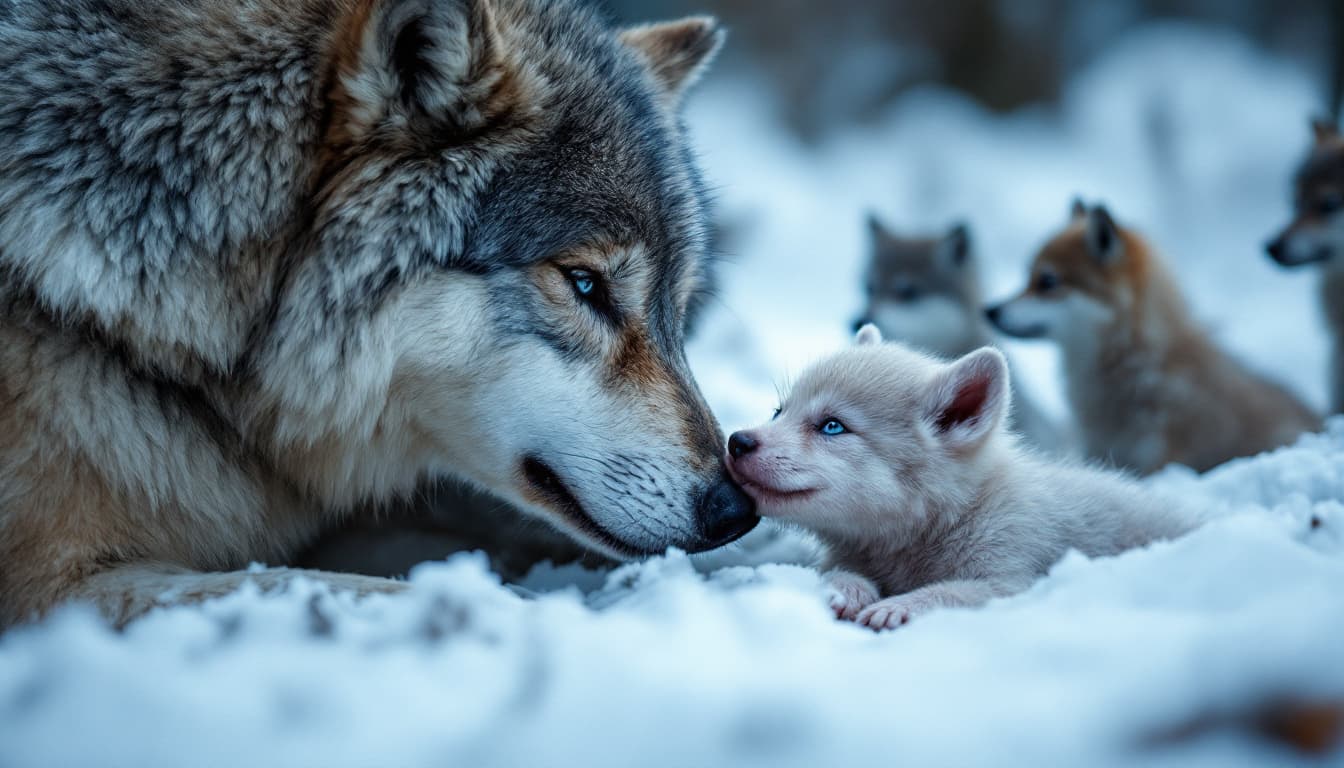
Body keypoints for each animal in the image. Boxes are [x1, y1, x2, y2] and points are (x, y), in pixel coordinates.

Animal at [724, 326, 1197, 630]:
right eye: (779, 411)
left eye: (833, 426)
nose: (737, 441)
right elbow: (839, 573)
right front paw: (845, 590)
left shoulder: (1014, 565)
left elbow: (962, 591)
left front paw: (900, 606)